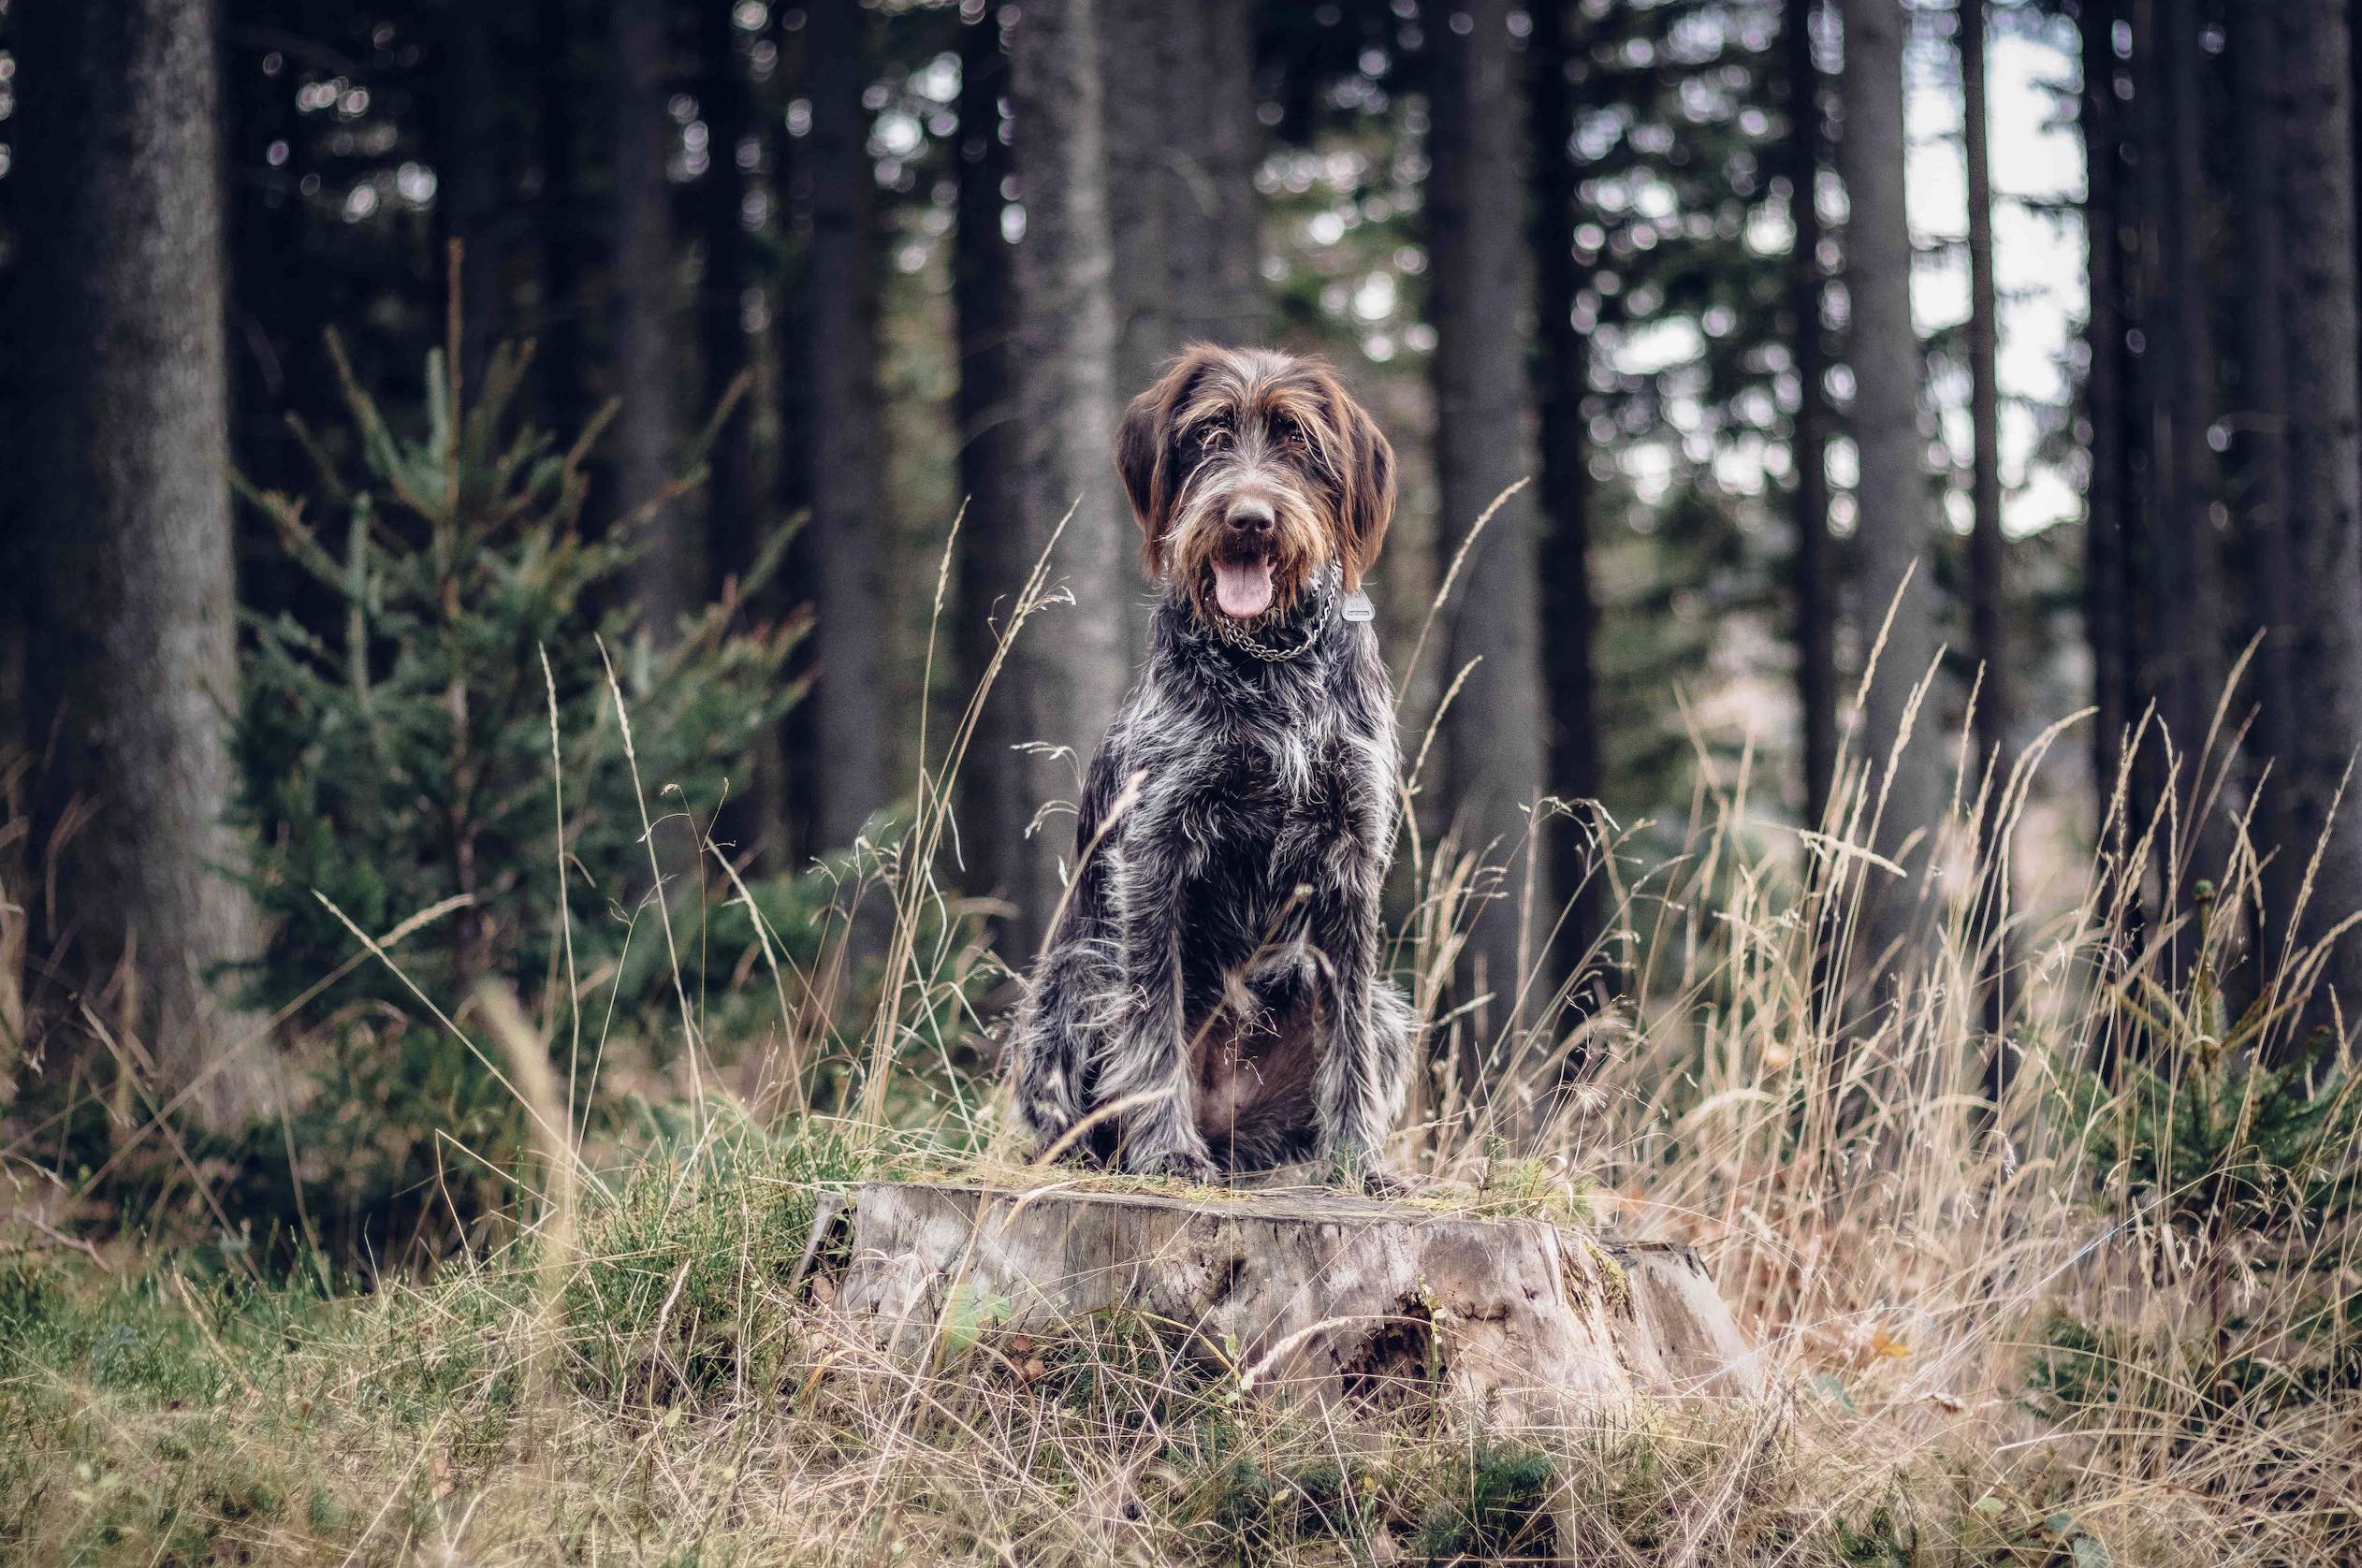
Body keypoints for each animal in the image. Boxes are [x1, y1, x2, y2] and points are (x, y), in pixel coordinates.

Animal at [1011, 347, 1407, 1190]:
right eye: (1208, 436)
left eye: (1296, 440)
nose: (1249, 519)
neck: (1269, 662)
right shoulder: (1154, 853)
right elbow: (1152, 1021)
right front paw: (1166, 1150)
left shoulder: (1351, 856)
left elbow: (1349, 1035)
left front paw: (1359, 1159)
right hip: (1078, 974)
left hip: (1382, 1012)